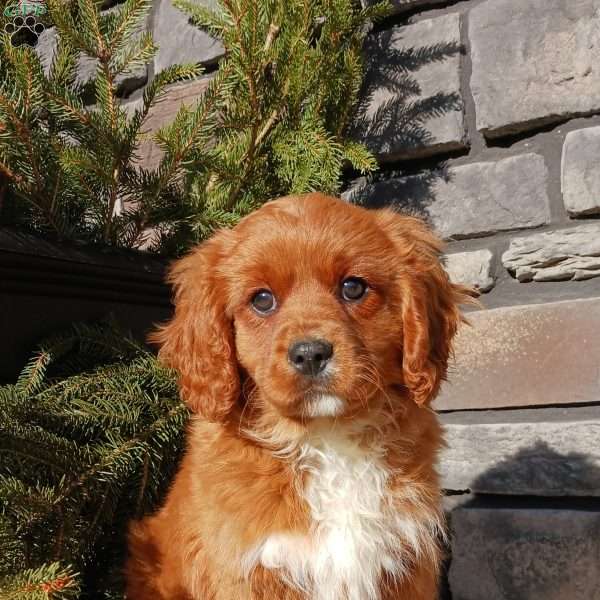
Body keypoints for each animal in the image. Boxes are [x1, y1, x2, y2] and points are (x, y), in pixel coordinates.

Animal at [127, 193, 474, 600]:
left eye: (353, 288)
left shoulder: (405, 560)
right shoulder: (246, 571)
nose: (310, 354)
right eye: (262, 300)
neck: (326, 438)